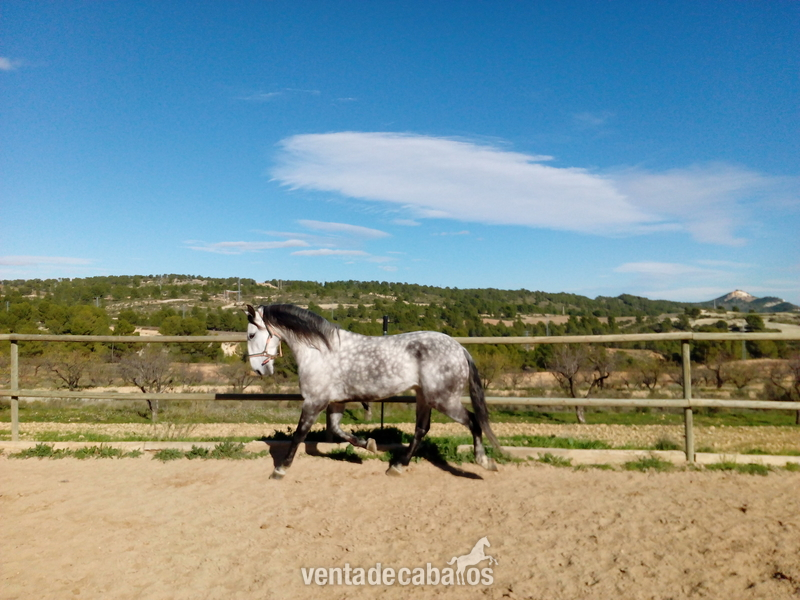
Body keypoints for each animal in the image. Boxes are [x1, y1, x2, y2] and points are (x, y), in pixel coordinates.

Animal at [245, 304, 501, 479]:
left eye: (251, 334)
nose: (259, 370)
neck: (319, 352)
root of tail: (460, 349)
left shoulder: (314, 401)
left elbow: (299, 434)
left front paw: (280, 469)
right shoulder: (336, 402)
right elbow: (337, 430)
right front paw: (368, 444)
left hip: (444, 399)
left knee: (473, 421)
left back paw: (484, 461)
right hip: (424, 397)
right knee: (421, 429)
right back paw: (397, 466)